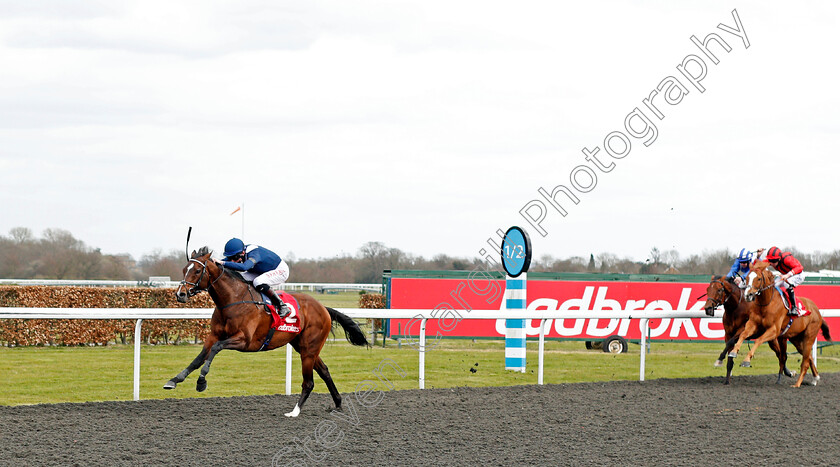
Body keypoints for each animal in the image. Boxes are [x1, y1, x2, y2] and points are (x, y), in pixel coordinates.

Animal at [164, 249, 368, 416]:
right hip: (303, 346)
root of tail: (323, 308)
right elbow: (199, 357)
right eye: (184, 269)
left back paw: (295, 411)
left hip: (309, 348)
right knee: (324, 371)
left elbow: (215, 349)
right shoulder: (214, 335)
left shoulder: (244, 340)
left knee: (309, 382)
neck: (234, 300)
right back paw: (338, 404)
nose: (180, 294)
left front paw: (201, 381)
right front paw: (174, 380)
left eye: (198, 271)